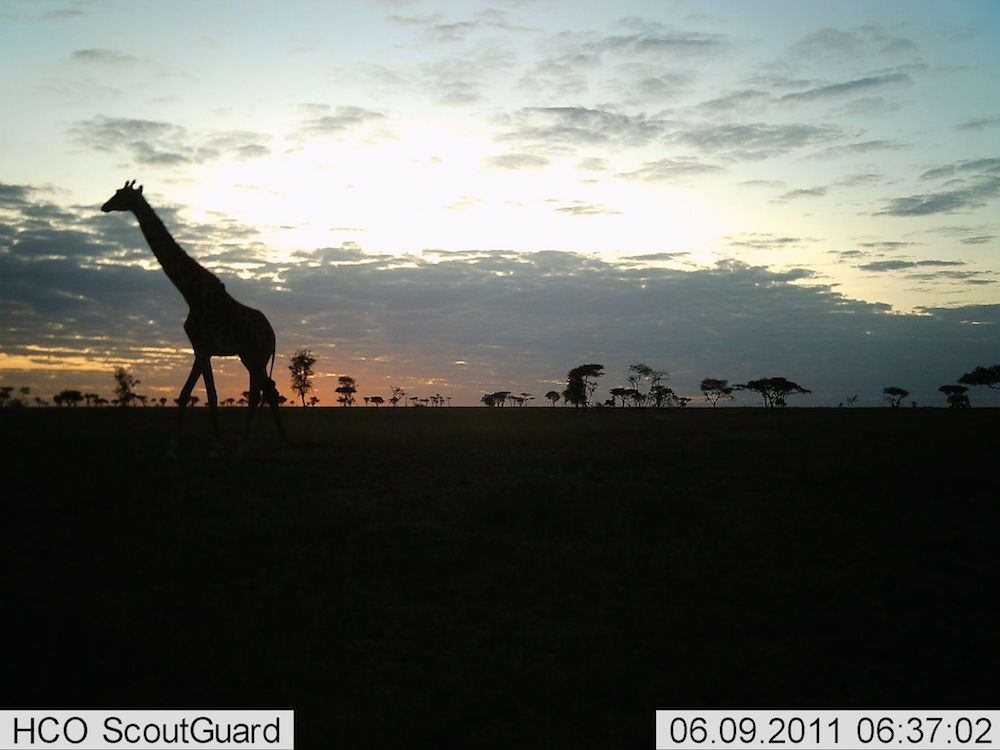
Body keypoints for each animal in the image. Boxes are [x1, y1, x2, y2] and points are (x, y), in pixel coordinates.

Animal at [101, 181, 284, 458]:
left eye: (122, 195)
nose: (105, 206)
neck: (191, 294)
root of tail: (273, 335)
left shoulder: (203, 346)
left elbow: (211, 393)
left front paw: (215, 446)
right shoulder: (200, 349)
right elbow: (186, 392)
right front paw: (172, 446)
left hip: (254, 356)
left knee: (259, 393)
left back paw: (246, 445)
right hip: (251, 358)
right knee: (267, 391)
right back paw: (280, 442)